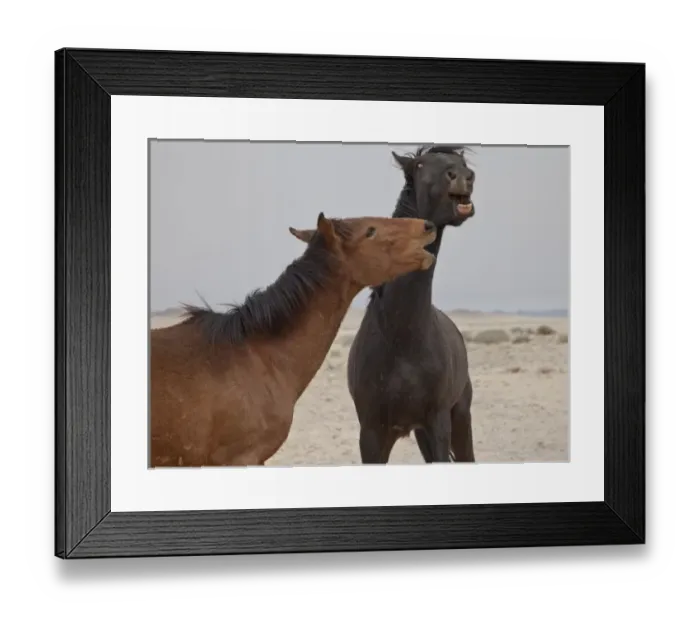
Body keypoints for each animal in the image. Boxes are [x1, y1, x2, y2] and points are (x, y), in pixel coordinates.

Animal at [346, 145, 477, 464]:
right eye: (419, 165)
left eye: (462, 162)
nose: (463, 177)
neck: (401, 337)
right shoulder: (372, 433)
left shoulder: (438, 424)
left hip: (459, 418)